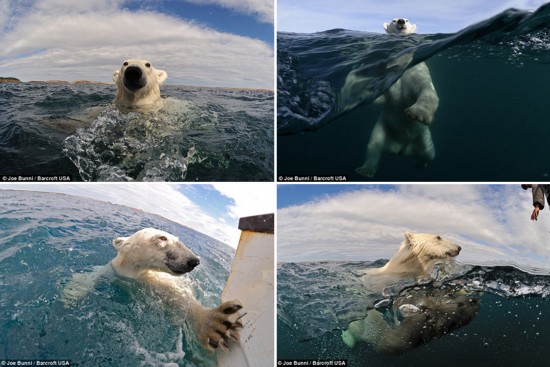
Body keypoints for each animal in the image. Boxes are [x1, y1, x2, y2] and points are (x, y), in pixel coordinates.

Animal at [62, 230, 244, 354]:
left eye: (178, 240)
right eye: (162, 238)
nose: (193, 260)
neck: (135, 272)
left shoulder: (161, 282)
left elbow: (182, 298)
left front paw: (214, 324)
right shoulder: (114, 270)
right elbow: (91, 276)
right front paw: (71, 294)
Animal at [358, 19, 440, 179]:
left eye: (407, 20)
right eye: (393, 20)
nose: (401, 21)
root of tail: (402, 149)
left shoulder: (416, 71)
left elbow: (427, 91)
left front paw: (417, 113)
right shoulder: (388, 73)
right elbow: (381, 96)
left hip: (423, 137)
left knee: (429, 153)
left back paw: (420, 164)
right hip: (384, 128)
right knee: (374, 145)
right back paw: (365, 170)